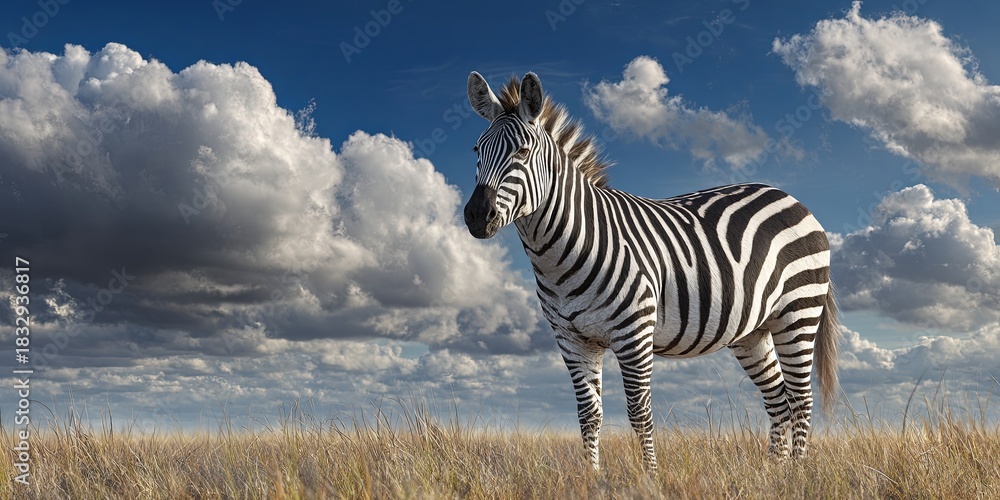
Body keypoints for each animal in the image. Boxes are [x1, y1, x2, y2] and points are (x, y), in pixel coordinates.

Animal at [463, 71, 841, 471]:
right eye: (476, 150)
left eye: (522, 152)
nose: (476, 215)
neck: (561, 253)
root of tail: (792, 199)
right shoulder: (572, 339)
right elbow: (588, 415)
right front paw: (591, 476)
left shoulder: (634, 332)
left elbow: (639, 413)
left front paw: (650, 476)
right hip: (752, 331)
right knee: (778, 400)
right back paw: (773, 471)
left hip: (798, 312)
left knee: (800, 399)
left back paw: (796, 471)